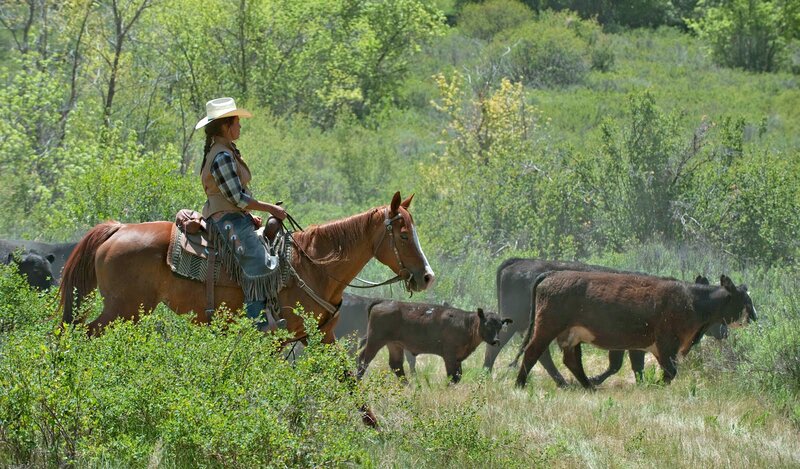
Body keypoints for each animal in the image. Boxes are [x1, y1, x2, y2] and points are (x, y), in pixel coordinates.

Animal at [59, 191, 435, 341]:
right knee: (83, 332)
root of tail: (118, 228)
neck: (313, 266)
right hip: (123, 309)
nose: (427, 277)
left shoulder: (321, 337)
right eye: (403, 235)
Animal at [357, 301, 512, 384]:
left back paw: (408, 386)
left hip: (394, 345)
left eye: (500, 326)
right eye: (487, 324)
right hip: (375, 341)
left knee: (396, 365)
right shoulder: (449, 357)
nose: (496, 340)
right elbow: (452, 376)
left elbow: (458, 376)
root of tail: (382, 302)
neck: (467, 323)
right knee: (363, 359)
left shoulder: (458, 359)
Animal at [494, 258, 725, 385]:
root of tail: (515, 262)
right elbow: (624, 365)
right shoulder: (632, 343)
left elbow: (622, 365)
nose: (725, 331)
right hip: (529, 324)